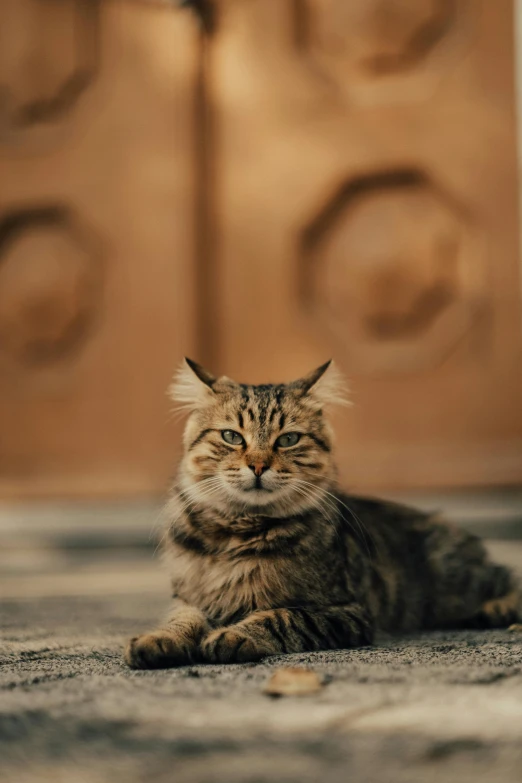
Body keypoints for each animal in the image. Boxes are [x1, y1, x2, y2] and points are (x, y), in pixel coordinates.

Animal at [124, 358, 516, 672]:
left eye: (287, 440)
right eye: (232, 437)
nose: (258, 466)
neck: (240, 530)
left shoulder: (345, 611)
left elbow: (280, 617)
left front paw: (233, 636)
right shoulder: (189, 597)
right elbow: (181, 619)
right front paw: (159, 640)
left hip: (458, 579)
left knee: (506, 574)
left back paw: (499, 609)